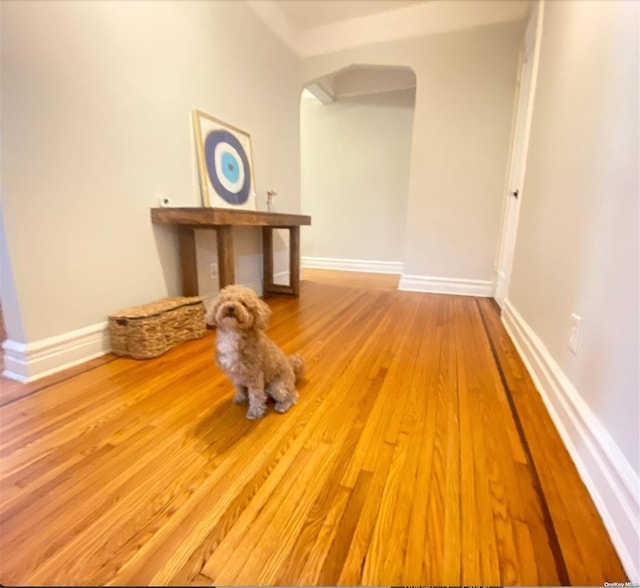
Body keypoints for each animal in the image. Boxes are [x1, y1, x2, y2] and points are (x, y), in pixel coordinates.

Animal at [205, 284, 304, 418]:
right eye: (225, 300)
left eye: (244, 303)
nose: (230, 307)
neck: (233, 333)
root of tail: (291, 367)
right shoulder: (235, 375)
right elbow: (240, 388)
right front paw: (241, 398)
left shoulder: (254, 376)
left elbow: (256, 396)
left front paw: (255, 412)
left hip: (277, 387)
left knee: (292, 395)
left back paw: (282, 405)